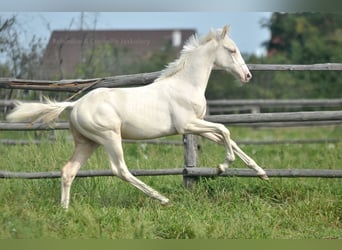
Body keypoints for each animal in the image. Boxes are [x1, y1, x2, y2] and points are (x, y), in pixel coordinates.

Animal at [7, 25, 268, 209]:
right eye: (231, 50)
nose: (247, 75)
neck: (185, 84)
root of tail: (76, 103)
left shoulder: (199, 126)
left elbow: (227, 137)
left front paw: (261, 172)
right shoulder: (187, 125)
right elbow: (225, 129)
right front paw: (222, 167)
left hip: (87, 143)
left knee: (68, 170)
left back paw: (65, 209)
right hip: (110, 137)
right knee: (120, 169)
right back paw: (162, 199)